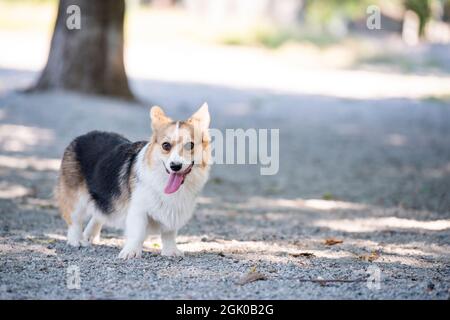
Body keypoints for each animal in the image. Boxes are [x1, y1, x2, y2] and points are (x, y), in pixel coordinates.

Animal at [55, 104, 211, 258]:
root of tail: (81, 137)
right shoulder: (138, 209)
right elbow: (138, 233)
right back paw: (76, 241)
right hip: (75, 199)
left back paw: (89, 236)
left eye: (190, 145)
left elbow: (169, 234)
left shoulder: (173, 212)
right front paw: (131, 252)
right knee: (74, 220)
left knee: (99, 213)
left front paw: (170, 251)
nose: (175, 166)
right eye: (166, 145)